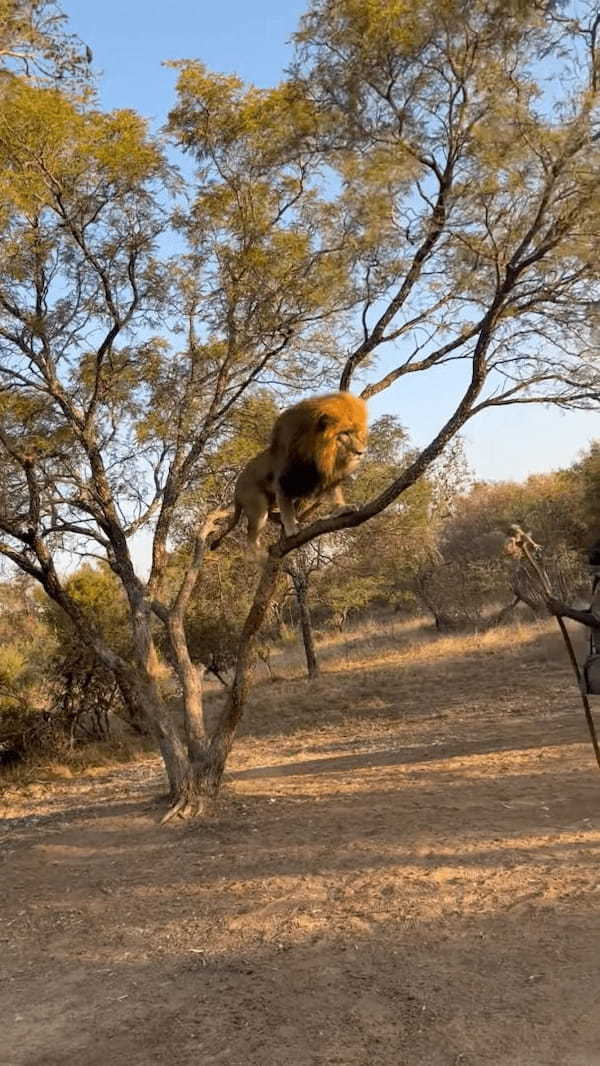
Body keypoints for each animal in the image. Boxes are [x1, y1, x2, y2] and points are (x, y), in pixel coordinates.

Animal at [211, 394, 370, 558]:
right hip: (257, 503)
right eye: (345, 433)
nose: (361, 452)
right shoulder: (283, 480)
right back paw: (260, 554)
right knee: (251, 535)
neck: (321, 454)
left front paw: (343, 508)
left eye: (358, 433)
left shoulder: (326, 475)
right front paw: (291, 529)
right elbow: (287, 509)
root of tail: (236, 489)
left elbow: (335, 494)